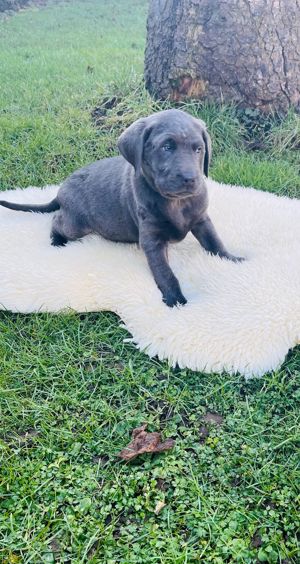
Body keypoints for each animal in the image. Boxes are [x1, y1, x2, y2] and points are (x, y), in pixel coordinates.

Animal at [0, 108, 243, 306]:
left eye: (198, 149)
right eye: (166, 147)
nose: (191, 178)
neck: (176, 202)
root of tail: (60, 191)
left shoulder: (201, 219)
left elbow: (214, 242)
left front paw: (233, 260)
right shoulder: (152, 239)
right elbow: (164, 272)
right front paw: (175, 300)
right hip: (76, 225)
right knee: (57, 220)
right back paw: (56, 240)